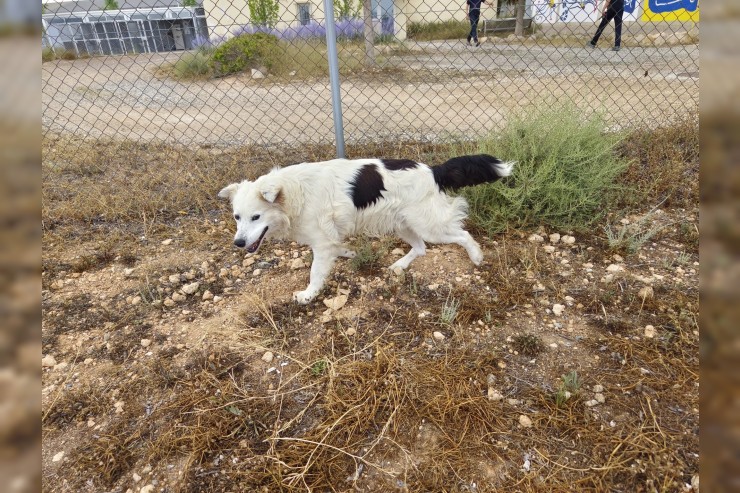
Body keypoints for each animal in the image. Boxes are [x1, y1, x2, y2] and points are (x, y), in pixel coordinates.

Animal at [217, 154, 512, 302]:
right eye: (237, 217)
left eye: (256, 217)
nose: (238, 244)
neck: (292, 191)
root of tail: (433, 170)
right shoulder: (328, 241)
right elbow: (340, 249)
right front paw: (351, 254)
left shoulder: (321, 243)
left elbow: (315, 273)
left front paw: (309, 294)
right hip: (402, 224)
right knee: (421, 248)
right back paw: (400, 265)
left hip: (429, 225)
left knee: (462, 234)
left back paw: (476, 256)